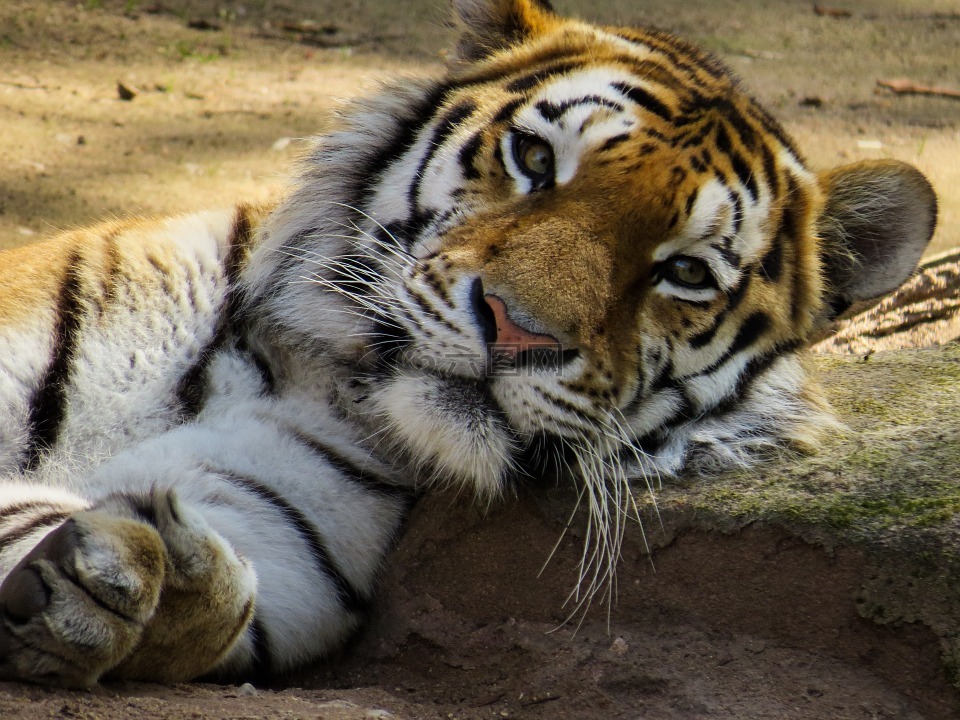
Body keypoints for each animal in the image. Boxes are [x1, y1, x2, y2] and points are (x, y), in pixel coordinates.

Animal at [0, 0, 937, 688]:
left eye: (687, 272)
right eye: (534, 158)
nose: (517, 328)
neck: (300, 363)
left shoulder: (290, 515)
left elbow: (222, 595)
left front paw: (134, 583)